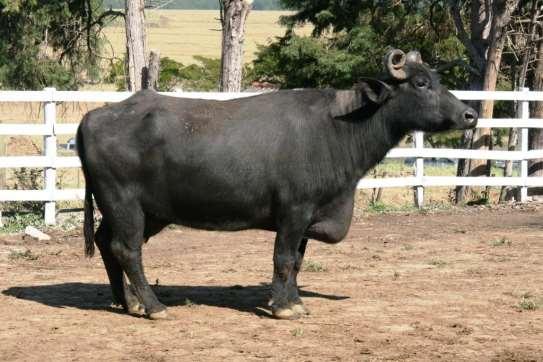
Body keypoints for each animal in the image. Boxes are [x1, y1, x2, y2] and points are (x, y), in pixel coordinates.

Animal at [76, 50, 476, 320]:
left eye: (438, 79)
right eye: (421, 83)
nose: (470, 114)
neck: (337, 127)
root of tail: (94, 116)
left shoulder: (311, 214)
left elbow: (297, 261)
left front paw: (295, 301)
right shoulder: (294, 211)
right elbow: (282, 258)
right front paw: (283, 308)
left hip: (142, 211)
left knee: (107, 243)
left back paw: (128, 301)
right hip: (124, 203)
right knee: (127, 249)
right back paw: (153, 306)